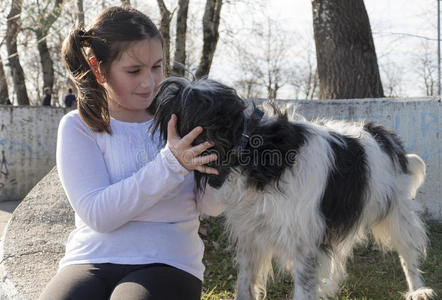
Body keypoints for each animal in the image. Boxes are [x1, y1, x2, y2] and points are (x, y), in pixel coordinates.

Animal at [150, 78, 434, 300]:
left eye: (184, 101)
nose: (157, 95)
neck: (252, 147)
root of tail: (386, 136)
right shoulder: (253, 234)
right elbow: (245, 283)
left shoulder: (304, 242)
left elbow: (303, 287)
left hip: (397, 214)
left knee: (408, 255)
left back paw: (418, 290)